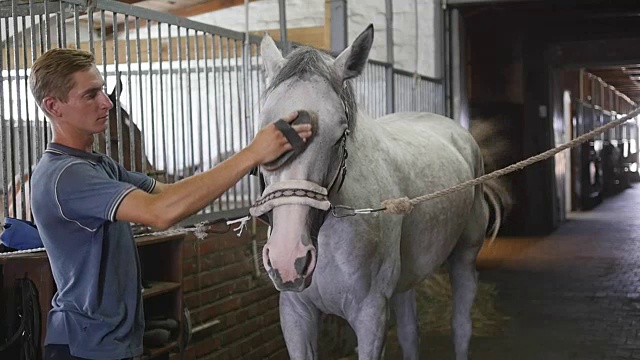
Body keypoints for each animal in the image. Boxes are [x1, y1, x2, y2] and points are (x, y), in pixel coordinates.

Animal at [250, 23, 510, 358]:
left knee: (461, 326)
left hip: (464, 257)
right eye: (263, 134)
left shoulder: (370, 316)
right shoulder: (295, 314)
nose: (288, 258)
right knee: (411, 333)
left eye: (341, 134)